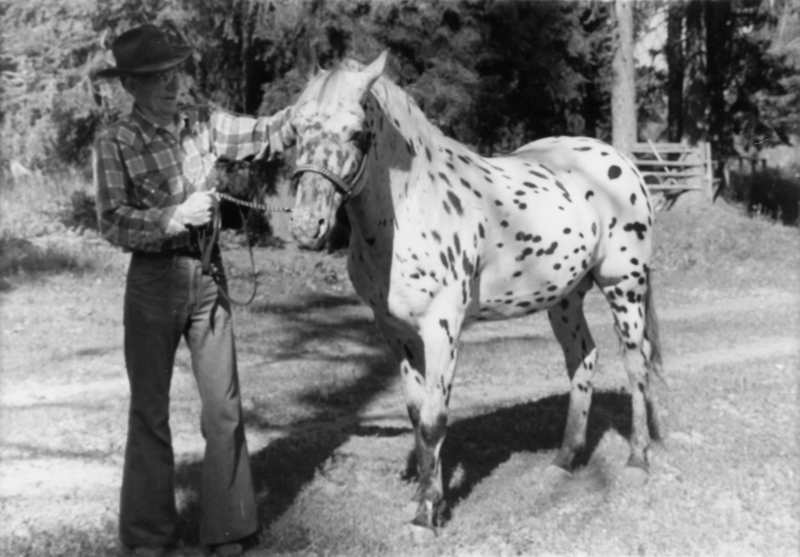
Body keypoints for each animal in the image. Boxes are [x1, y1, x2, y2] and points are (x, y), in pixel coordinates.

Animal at [289, 51, 663, 533]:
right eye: (296, 128)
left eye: (356, 132)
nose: (306, 226)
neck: (410, 209)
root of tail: (621, 161)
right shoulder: (395, 332)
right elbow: (417, 415)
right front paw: (424, 496)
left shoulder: (441, 329)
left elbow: (434, 419)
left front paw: (426, 516)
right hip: (564, 299)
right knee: (583, 358)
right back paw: (563, 461)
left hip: (624, 287)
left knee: (636, 365)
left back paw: (638, 461)